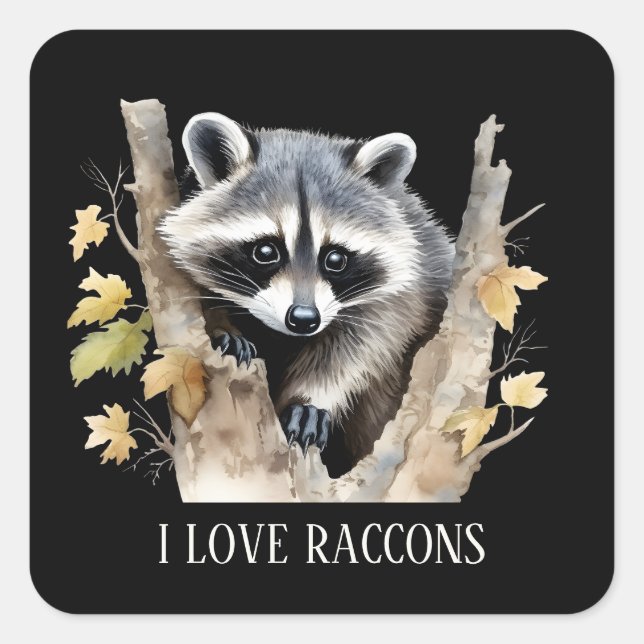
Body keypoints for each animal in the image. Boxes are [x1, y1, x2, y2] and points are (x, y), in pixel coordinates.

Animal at [160, 113, 454, 477]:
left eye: (336, 259)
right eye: (265, 251)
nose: (303, 319)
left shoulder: (403, 289)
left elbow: (361, 347)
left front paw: (310, 399)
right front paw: (222, 329)